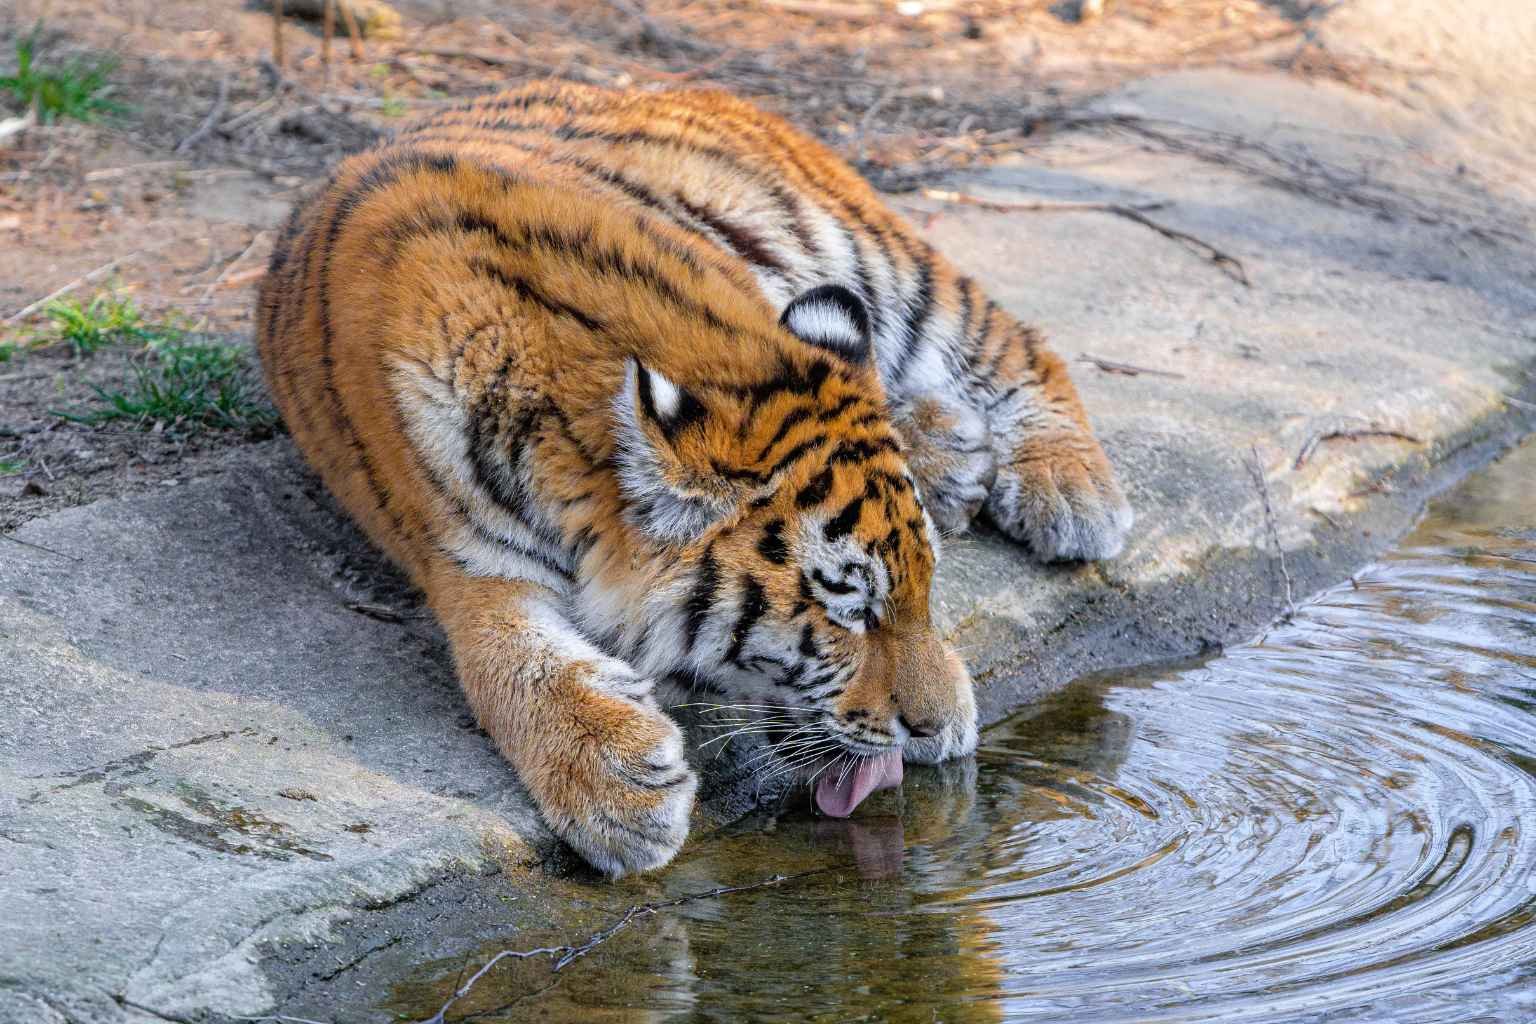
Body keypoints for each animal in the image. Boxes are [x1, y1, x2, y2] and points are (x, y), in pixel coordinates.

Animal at [254, 80, 1132, 877]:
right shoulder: (466, 562)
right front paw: (618, 788)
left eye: (925, 589)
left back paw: (1068, 489)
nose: (939, 732)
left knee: (1013, 339)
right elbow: (515, 666)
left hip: (873, 253)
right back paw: (952, 456)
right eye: (849, 610)